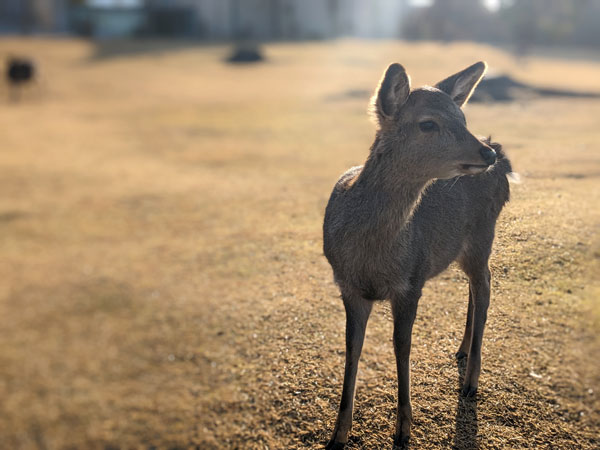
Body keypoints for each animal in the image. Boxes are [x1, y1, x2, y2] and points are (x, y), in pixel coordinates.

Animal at [324, 60, 510, 450]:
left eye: (462, 118)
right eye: (428, 123)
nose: (485, 154)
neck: (372, 257)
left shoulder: (411, 282)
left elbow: (402, 347)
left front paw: (403, 430)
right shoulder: (347, 286)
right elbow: (352, 349)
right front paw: (337, 436)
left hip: (484, 234)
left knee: (485, 285)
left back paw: (471, 382)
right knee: (473, 289)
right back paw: (462, 349)